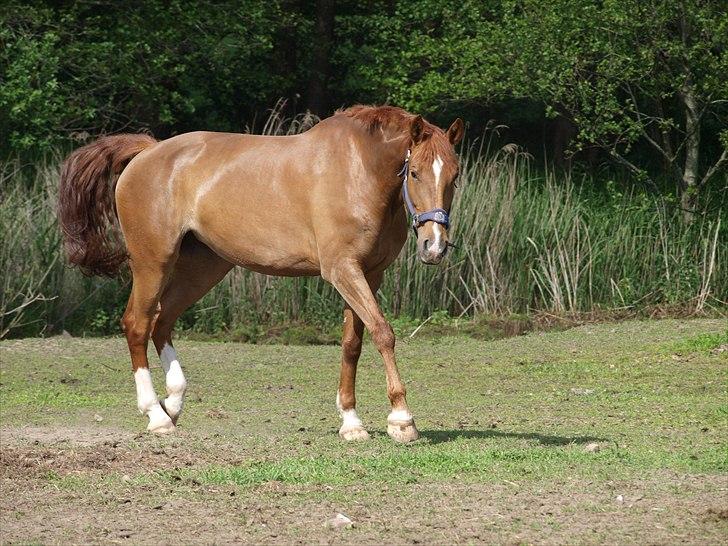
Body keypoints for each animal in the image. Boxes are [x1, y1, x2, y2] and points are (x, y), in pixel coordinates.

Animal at [59, 104, 464, 440]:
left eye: (455, 176)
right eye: (414, 172)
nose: (434, 246)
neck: (359, 170)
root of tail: (146, 152)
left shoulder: (368, 274)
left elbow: (352, 344)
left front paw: (351, 421)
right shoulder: (343, 270)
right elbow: (383, 332)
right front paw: (402, 419)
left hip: (203, 267)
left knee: (162, 321)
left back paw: (172, 403)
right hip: (153, 262)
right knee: (138, 324)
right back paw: (155, 415)